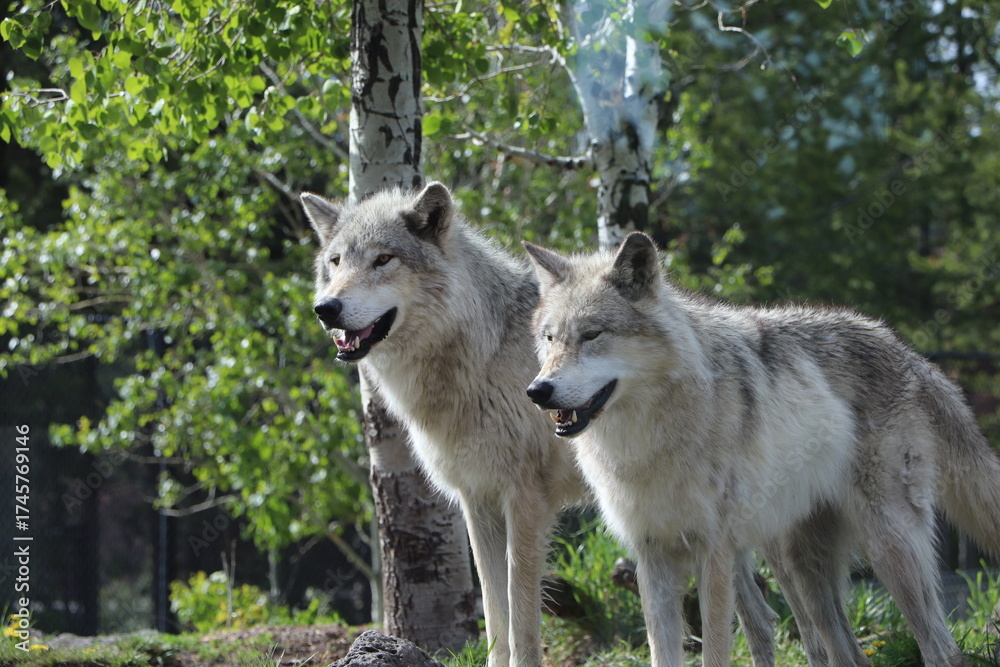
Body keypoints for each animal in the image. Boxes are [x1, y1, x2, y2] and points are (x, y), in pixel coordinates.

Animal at [302, 184, 778, 667]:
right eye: (336, 262)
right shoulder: (478, 501)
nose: (325, 308)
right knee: (762, 620)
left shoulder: (526, 500)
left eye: (383, 260)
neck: (481, 354)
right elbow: (494, 614)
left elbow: (522, 618)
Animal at [524, 232, 1000, 667]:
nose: (537, 391)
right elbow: (664, 651)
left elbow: (716, 650)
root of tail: (908, 353)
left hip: (887, 548)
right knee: (850, 653)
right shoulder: (652, 554)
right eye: (549, 339)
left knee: (942, 649)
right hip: (798, 565)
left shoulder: (713, 553)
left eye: (592, 335)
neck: (644, 440)